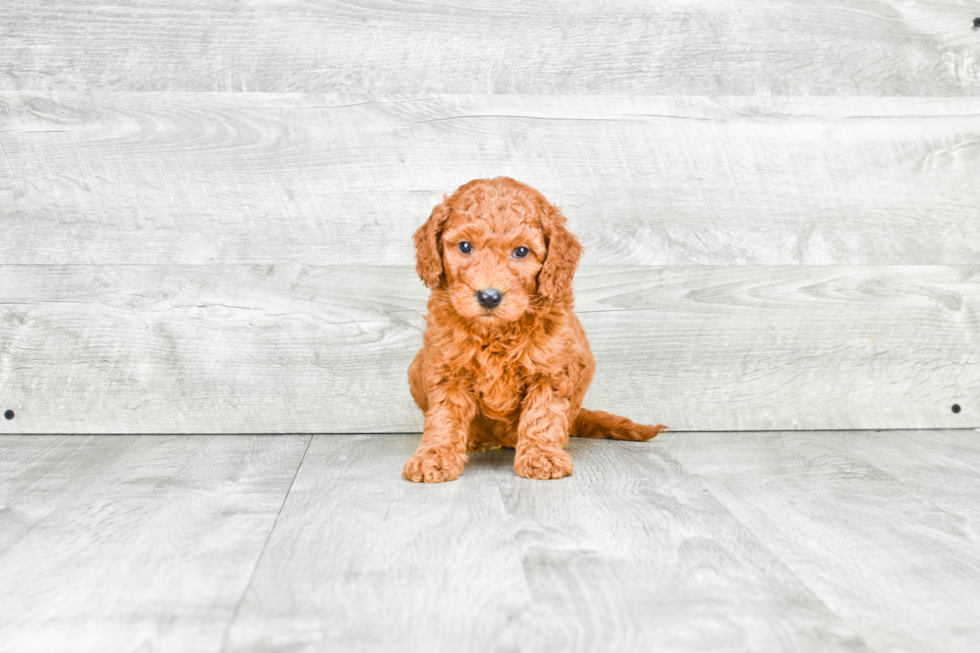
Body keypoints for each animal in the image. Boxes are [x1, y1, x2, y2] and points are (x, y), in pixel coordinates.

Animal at [400, 176, 668, 482]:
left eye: (521, 251)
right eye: (465, 247)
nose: (489, 296)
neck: (497, 331)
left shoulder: (551, 371)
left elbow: (542, 416)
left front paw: (542, 456)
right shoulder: (448, 370)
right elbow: (445, 417)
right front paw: (434, 456)